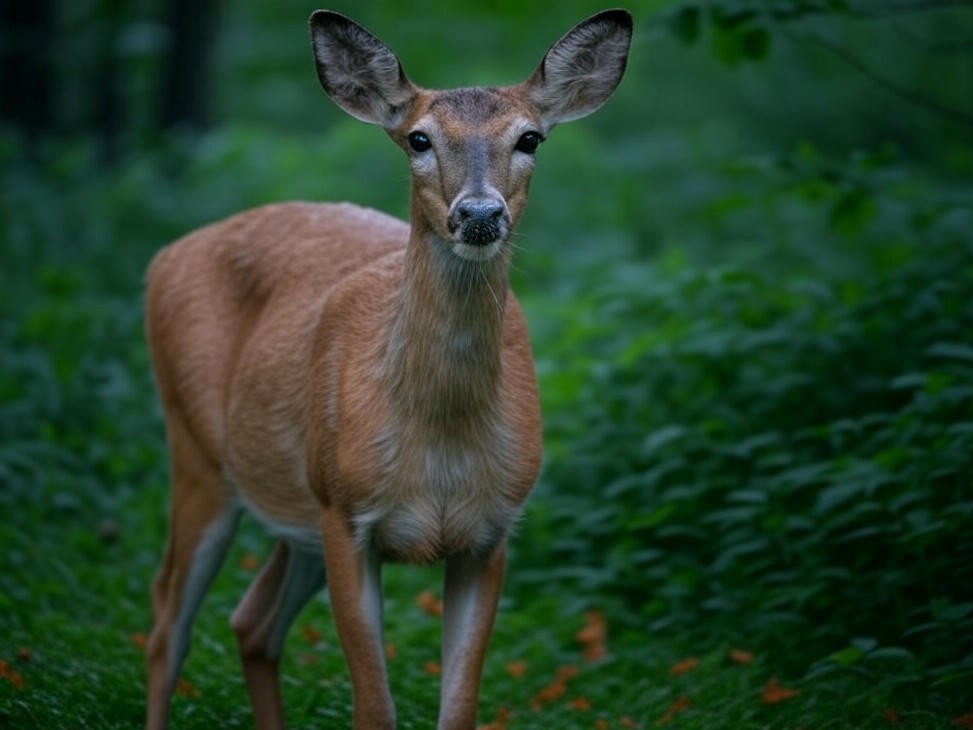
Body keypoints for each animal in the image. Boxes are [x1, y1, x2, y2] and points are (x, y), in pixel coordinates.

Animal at [143, 8, 631, 730]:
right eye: (418, 138)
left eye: (530, 138)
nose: (478, 214)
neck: (441, 443)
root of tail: (166, 255)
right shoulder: (347, 515)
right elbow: (374, 709)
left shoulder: (490, 533)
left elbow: (459, 711)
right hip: (200, 455)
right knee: (166, 621)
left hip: (297, 506)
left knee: (251, 622)